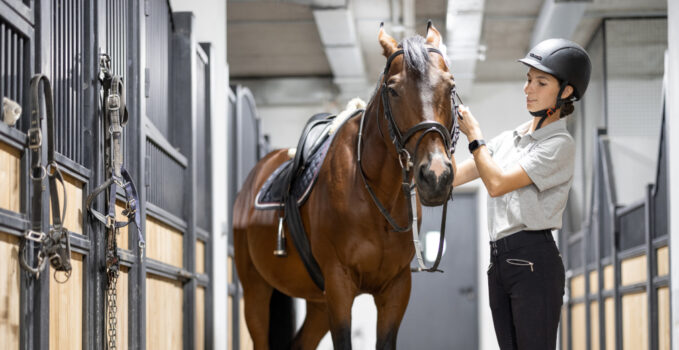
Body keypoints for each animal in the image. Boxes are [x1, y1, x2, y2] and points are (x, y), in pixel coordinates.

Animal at [234, 23, 462, 348]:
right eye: (393, 89)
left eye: (450, 86)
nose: (436, 175)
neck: (376, 200)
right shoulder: (339, 285)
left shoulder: (396, 288)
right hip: (256, 290)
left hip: (317, 301)